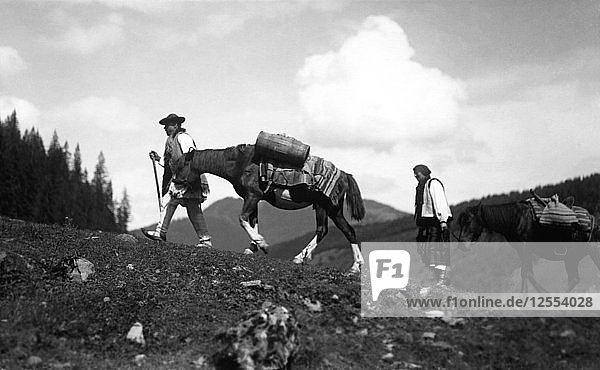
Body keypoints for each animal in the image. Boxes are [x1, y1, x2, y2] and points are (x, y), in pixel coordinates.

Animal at [178, 145, 366, 274]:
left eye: (181, 165)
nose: (174, 189)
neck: (242, 163)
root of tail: (344, 174)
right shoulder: (252, 198)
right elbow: (252, 221)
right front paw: (253, 247)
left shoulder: (252, 195)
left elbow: (242, 219)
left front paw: (262, 244)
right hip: (331, 208)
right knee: (343, 230)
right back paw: (352, 265)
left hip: (325, 206)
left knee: (328, 230)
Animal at [458, 202, 600, 292]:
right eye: (460, 222)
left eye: (468, 221)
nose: (462, 244)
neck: (516, 219)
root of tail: (593, 221)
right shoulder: (521, 251)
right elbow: (528, 273)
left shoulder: (526, 249)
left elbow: (526, 273)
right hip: (571, 258)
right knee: (574, 279)